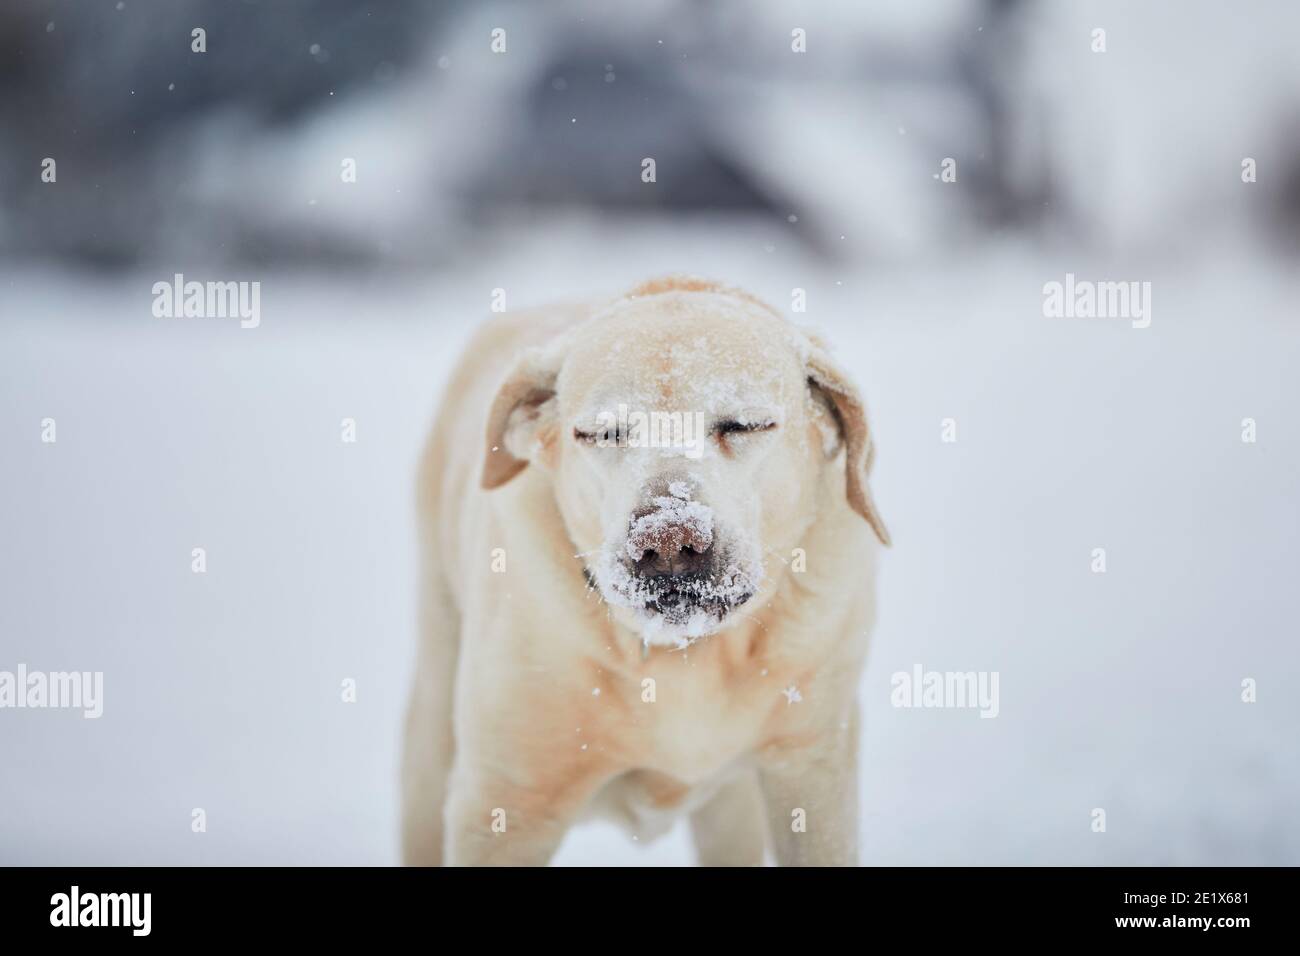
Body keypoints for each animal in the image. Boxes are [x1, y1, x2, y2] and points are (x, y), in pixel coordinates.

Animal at [403, 277, 894, 868]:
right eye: (602, 432)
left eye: (744, 424)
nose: (667, 540)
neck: (685, 655)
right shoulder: (505, 804)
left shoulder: (813, 770)